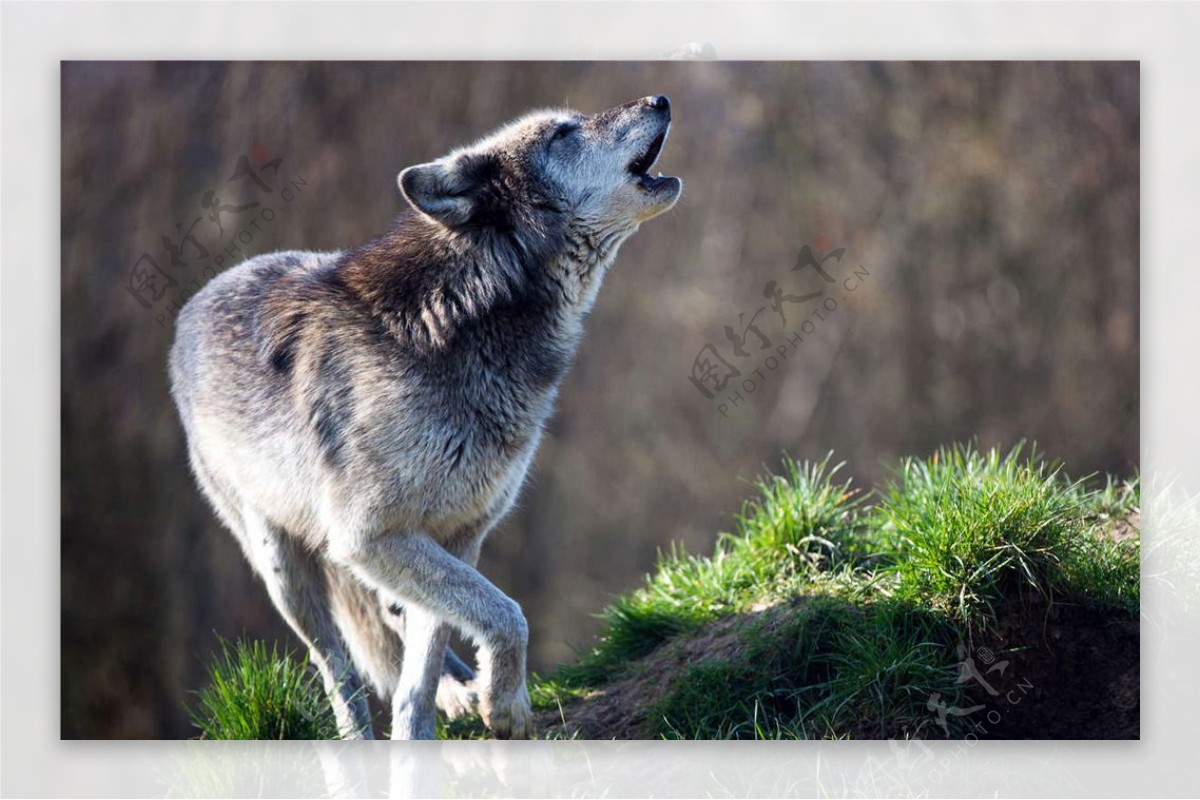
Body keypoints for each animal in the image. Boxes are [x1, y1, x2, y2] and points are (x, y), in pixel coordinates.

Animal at [166, 92, 686, 738]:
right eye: (562, 133)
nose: (659, 98)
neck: (462, 320)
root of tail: (193, 306)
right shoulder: (369, 537)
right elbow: (507, 614)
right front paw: (505, 705)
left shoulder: (456, 534)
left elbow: (432, 657)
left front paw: (436, 727)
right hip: (284, 569)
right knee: (338, 670)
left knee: (396, 622)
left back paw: (455, 694)